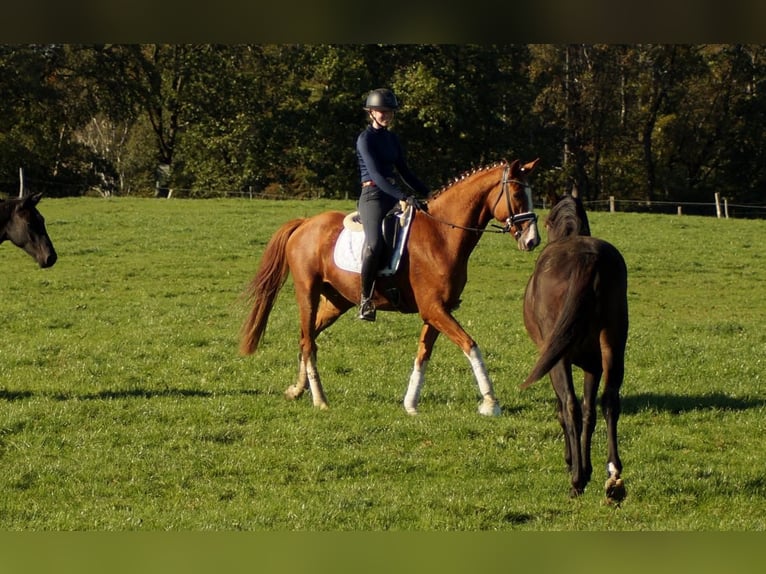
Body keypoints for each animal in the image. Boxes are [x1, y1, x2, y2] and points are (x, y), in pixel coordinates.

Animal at [243, 160, 544, 416]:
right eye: (517, 193)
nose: (532, 240)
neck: (441, 235)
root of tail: (305, 223)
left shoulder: (436, 312)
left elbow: (423, 355)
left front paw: (410, 404)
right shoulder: (434, 310)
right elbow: (470, 345)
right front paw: (491, 403)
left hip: (336, 301)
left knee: (307, 336)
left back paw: (297, 390)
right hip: (308, 292)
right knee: (308, 342)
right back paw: (320, 400)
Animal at [520, 189, 632, 504]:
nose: (532, 241)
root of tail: (588, 260)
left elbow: (565, 409)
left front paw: (574, 462)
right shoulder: (593, 365)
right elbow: (590, 411)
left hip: (558, 359)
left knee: (570, 406)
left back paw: (576, 480)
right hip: (613, 345)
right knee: (609, 402)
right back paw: (613, 476)